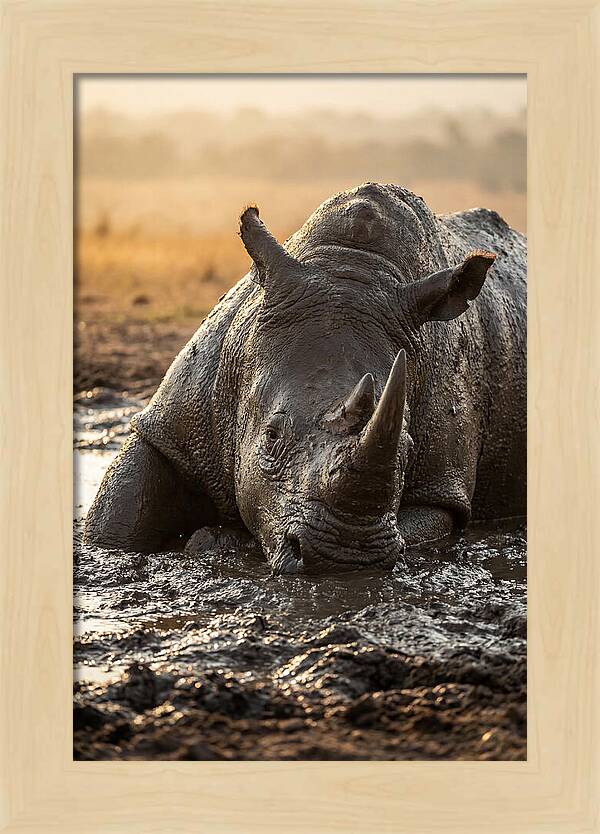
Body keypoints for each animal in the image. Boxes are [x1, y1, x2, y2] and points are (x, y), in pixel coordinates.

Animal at [84, 183, 526, 574]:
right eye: (271, 436)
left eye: (408, 447)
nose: (344, 556)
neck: (352, 266)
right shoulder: (172, 424)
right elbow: (117, 518)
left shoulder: (442, 487)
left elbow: (424, 523)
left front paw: (217, 540)